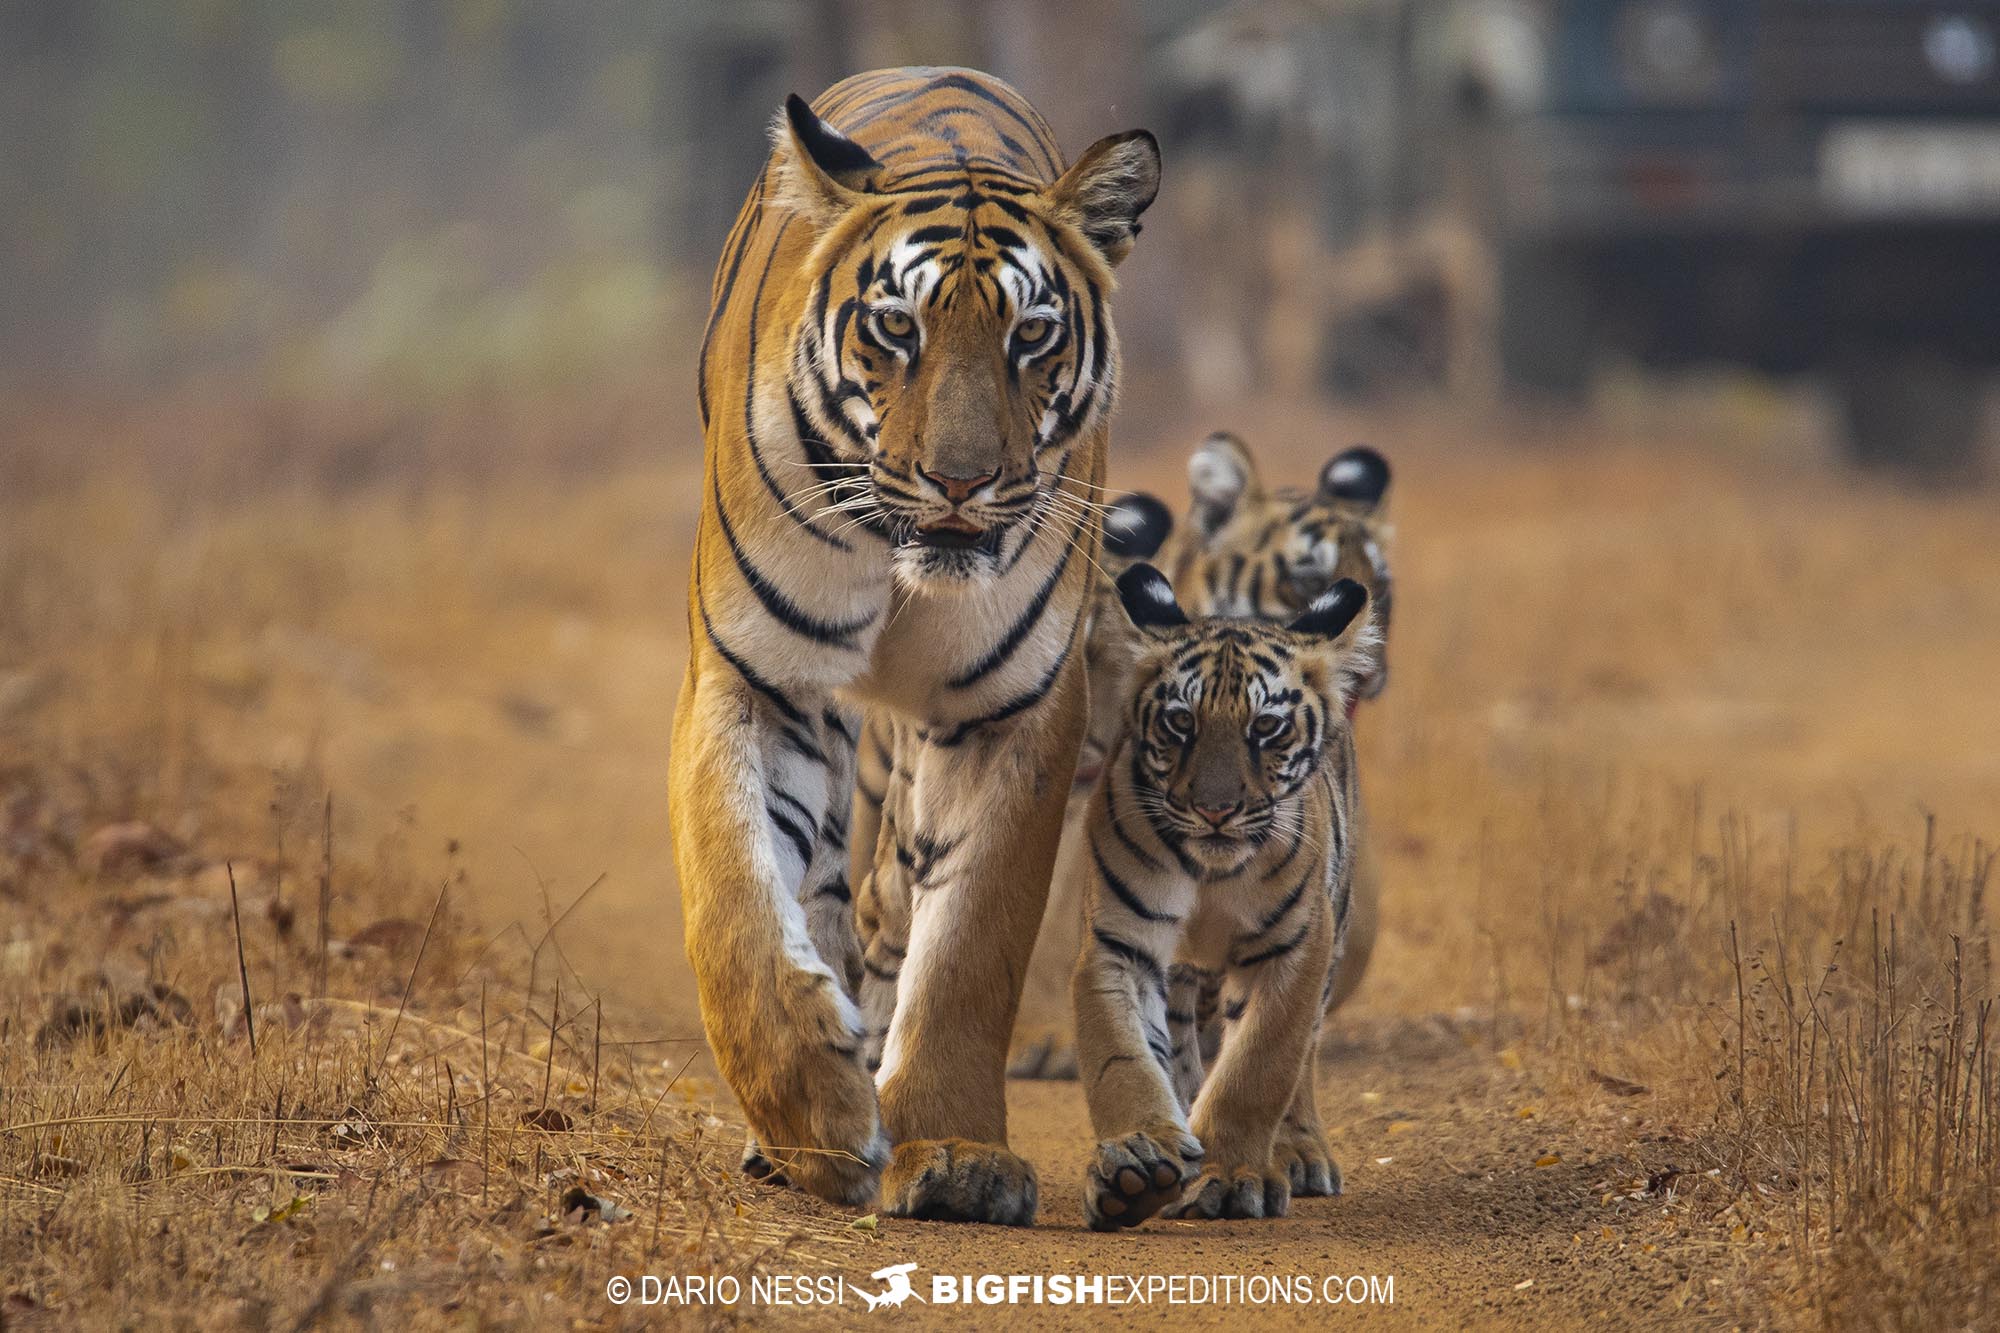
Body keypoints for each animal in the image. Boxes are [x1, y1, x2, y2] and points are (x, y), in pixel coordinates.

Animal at [667, 66, 1159, 1224]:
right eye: (896, 327)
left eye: (1032, 334)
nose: (959, 480)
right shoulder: (754, 679)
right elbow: (734, 903)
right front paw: (814, 1110)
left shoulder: (1012, 712)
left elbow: (970, 947)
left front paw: (951, 1152)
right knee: (822, 890)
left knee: (892, 901)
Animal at [1072, 564, 1378, 1229]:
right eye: (1180, 722)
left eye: (1265, 727)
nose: (1215, 810)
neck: (1212, 875)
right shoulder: (1121, 943)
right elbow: (1123, 1058)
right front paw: (1138, 1163)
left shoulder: (1295, 948)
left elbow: (1259, 1066)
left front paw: (1231, 1177)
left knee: (1300, 1057)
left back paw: (1298, 1152)